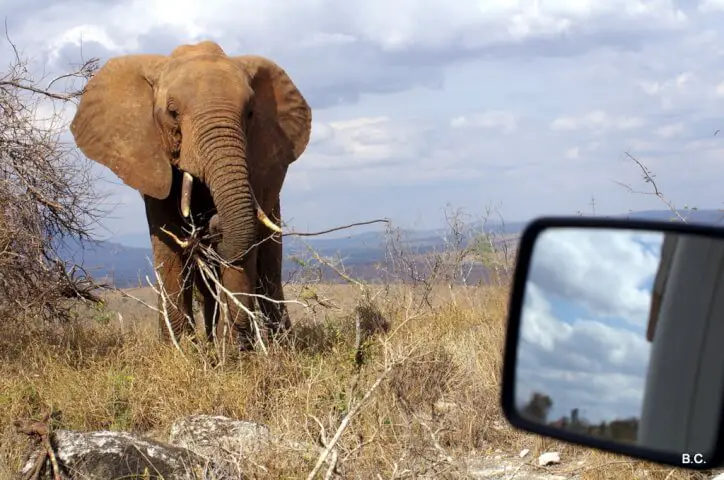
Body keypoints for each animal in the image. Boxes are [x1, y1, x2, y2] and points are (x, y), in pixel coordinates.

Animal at [68, 40, 314, 348]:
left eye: (250, 113)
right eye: (172, 112)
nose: (213, 223)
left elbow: (246, 248)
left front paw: (234, 351)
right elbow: (168, 245)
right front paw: (180, 348)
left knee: (268, 266)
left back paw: (281, 345)